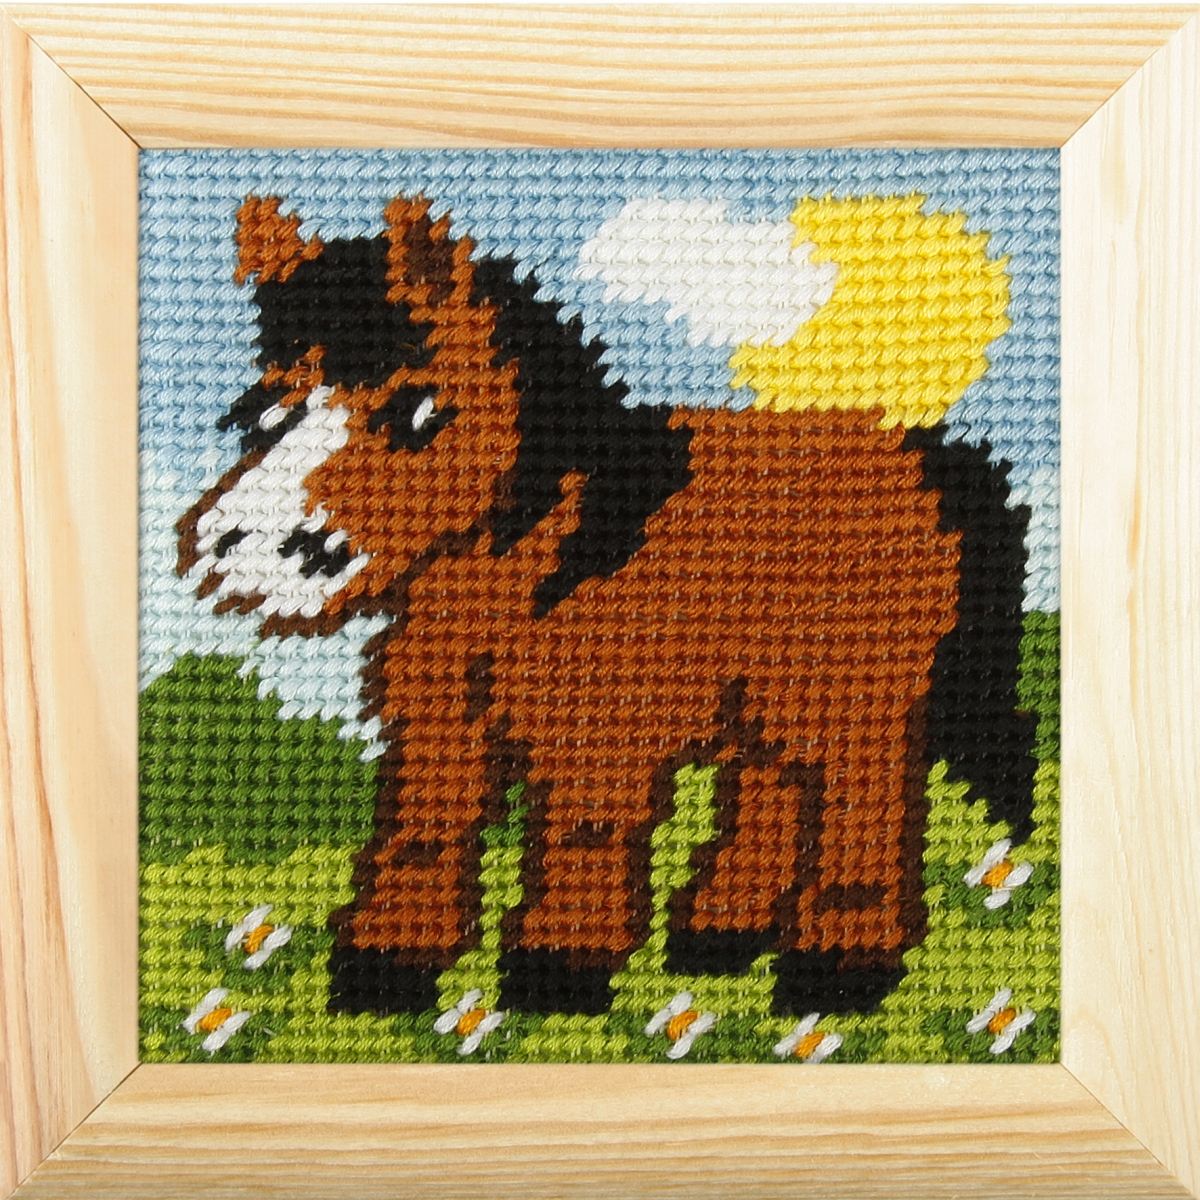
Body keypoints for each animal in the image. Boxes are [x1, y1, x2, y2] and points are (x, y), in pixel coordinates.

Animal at [176, 192, 1036, 1018]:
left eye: (416, 411)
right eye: (265, 414)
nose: (236, 545)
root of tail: (932, 458)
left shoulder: (595, 727)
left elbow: (580, 833)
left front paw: (558, 970)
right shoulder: (440, 724)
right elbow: (424, 831)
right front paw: (386, 965)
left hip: (849, 694)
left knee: (863, 798)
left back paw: (836, 965)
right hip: (765, 692)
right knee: (772, 788)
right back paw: (717, 935)